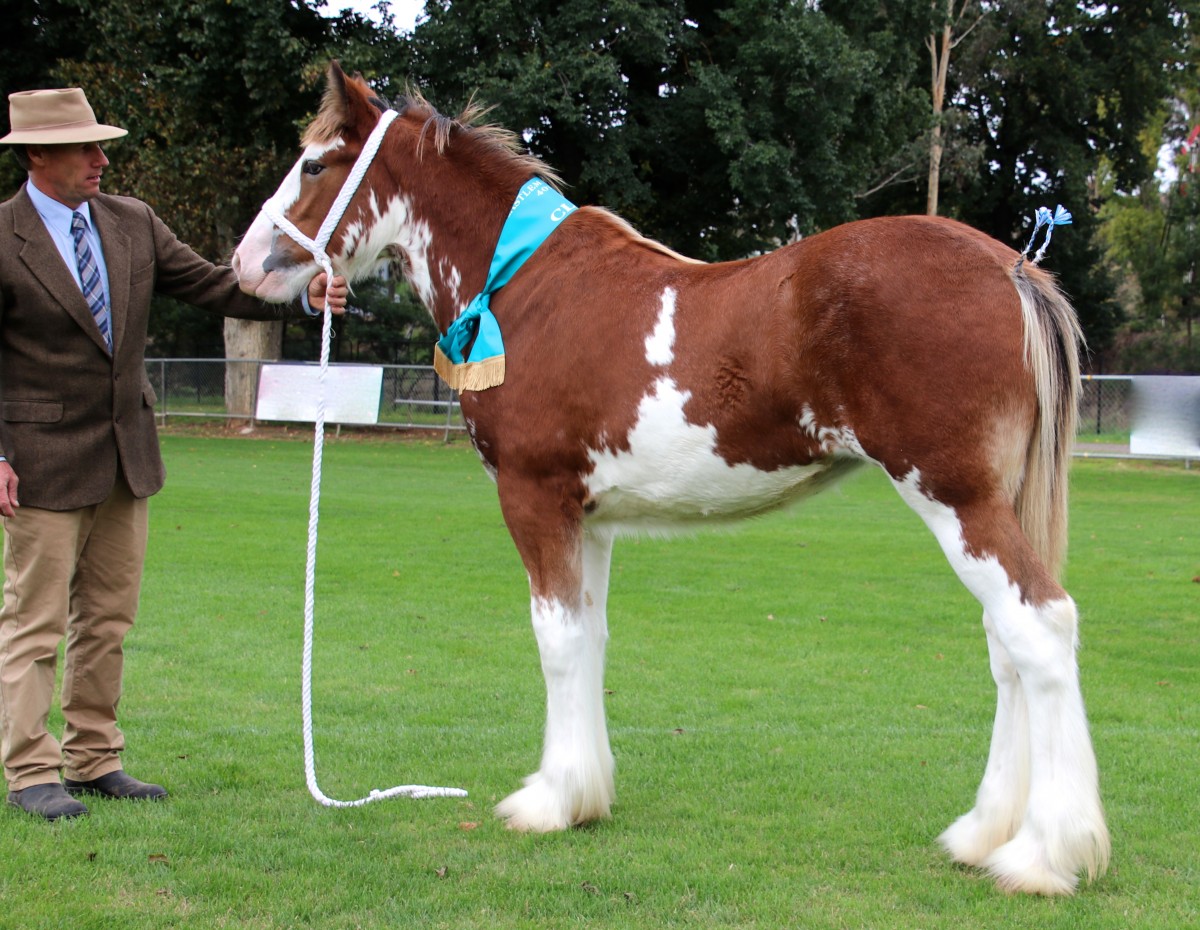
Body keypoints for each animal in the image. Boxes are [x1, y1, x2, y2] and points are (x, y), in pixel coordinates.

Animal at [232, 62, 1109, 896]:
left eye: (314, 163)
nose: (245, 264)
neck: (526, 288)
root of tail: (1011, 268)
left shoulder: (534, 497)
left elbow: (556, 641)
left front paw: (547, 803)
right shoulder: (587, 518)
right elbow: (589, 639)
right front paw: (583, 795)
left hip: (955, 499)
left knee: (1041, 629)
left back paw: (1041, 856)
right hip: (991, 505)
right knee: (1007, 645)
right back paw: (981, 834)